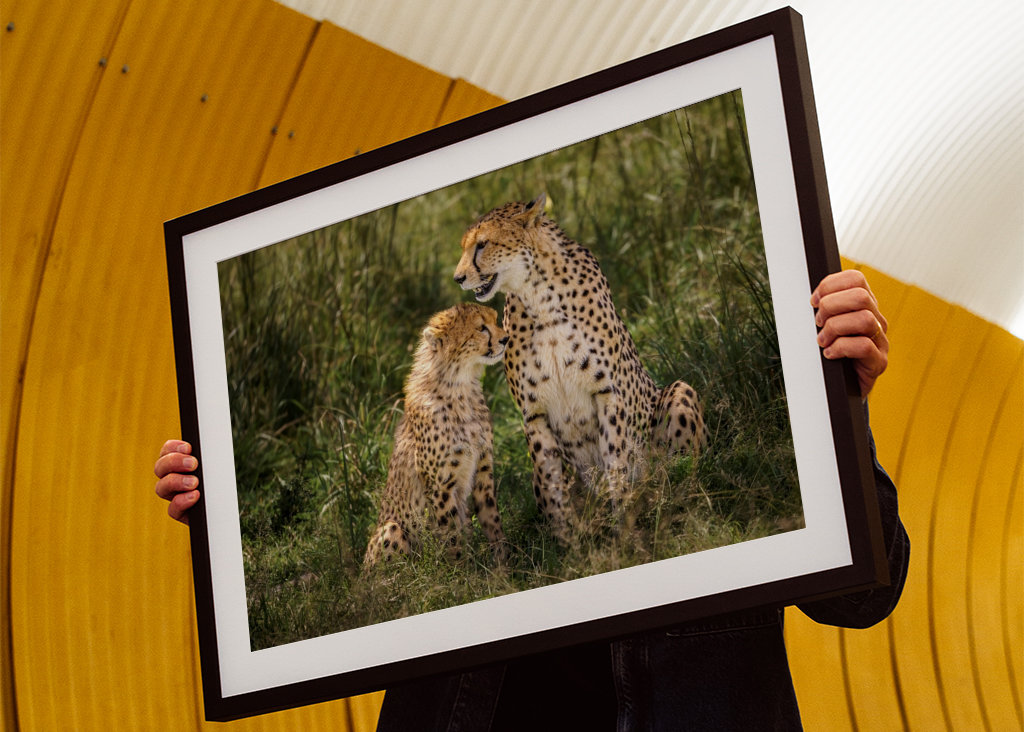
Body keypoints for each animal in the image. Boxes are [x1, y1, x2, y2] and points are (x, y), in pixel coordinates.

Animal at [364, 303, 509, 566]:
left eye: (495, 320)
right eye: (481, 328)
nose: (506, 338)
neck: (461, 388)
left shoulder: (483, 470)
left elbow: (491, 519)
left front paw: (505, 563)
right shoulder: (441, 484)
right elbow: (451, 533)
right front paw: (462, 572)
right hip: (391, 528)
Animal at [453, 194, 708, 541]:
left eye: (482, 245)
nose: (458, 278)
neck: (538, 296)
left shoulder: (608, 394)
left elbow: (616, 460)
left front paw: (623, 528)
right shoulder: (534, 413)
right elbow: (550, 481)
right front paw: (567, 544)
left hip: (679, 393)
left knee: (680, 473)